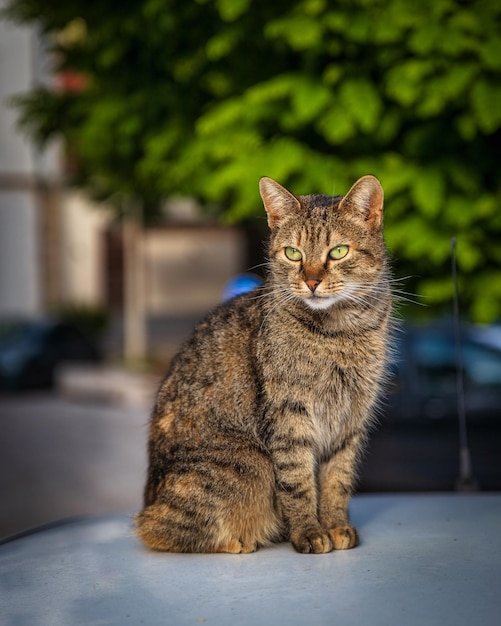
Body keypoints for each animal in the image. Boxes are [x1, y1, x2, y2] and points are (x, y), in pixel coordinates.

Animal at [136, 173, 390, 552]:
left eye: (338, 251)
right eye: (293, 253)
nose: (311, 281)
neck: (340, 332)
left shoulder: (350, 419)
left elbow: (337, 480)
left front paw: (335, 525)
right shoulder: (289, 415)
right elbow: (298, 482)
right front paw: (309, 531)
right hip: (250, 462)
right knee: (153, 529)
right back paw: (237, 541)